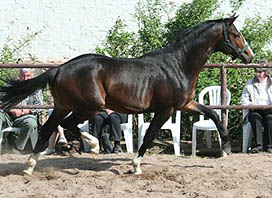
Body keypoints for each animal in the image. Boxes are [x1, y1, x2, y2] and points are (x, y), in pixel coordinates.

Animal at [1, 14, 254, 175]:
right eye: (235, 33)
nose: (249, 56)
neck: (178, 64)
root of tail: (59, 69)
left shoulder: (185, 104)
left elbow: (212, 113)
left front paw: (226, 149)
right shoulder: (165, 109)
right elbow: (149, 135)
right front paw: (136, 165)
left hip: (63, 105)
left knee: (48, 129)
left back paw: (30, 166)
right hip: (89, 106)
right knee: (68, 125)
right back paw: (93, 146)